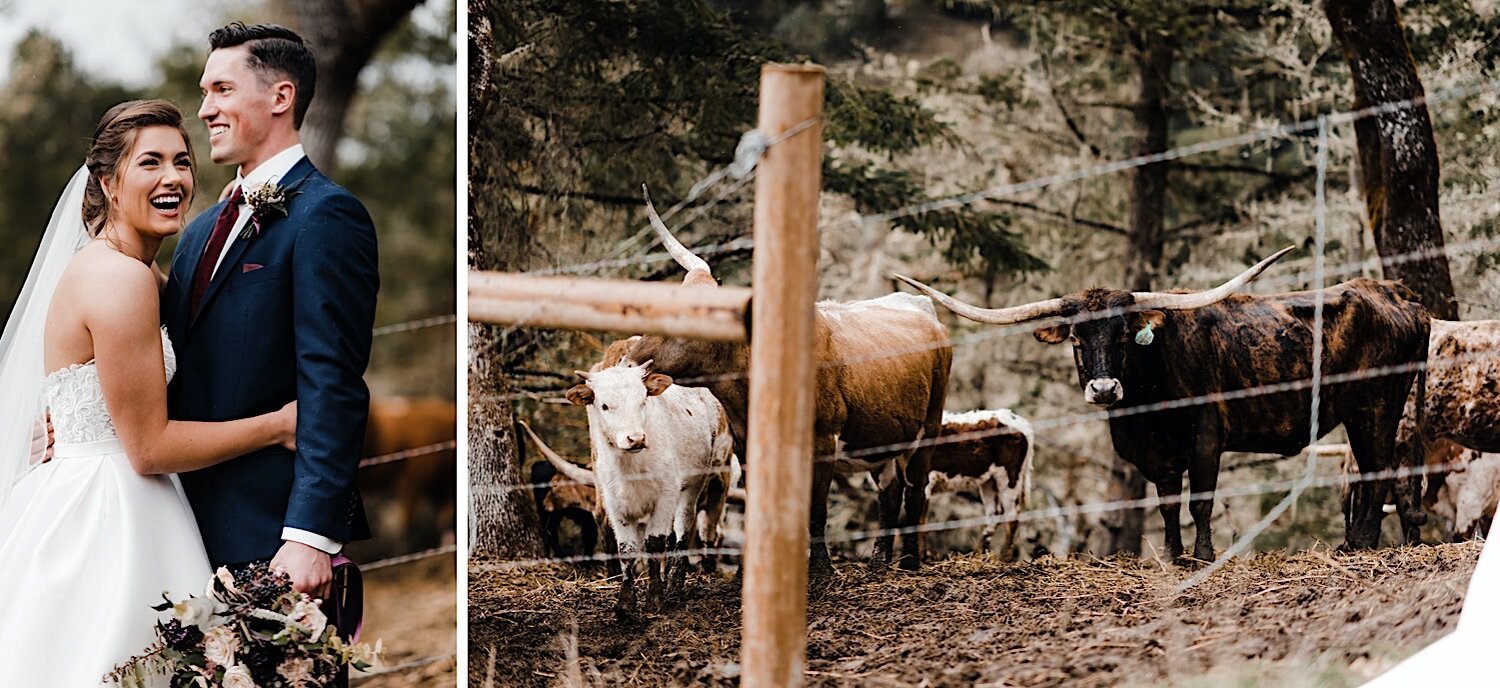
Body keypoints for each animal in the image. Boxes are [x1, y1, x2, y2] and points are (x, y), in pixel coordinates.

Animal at [630, 191, 954, 575]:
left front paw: (822, 573)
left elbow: (816, 510)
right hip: (884, 439)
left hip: (928, 428)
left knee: (915, 490)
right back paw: (878, 564)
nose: (632, 358)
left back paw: (910, 562)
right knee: (890, 493)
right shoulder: (748, 446)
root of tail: (922, 309)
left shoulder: (823, 442)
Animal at [924, 410, 1032, 560]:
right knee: (994, 513)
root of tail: (1016, 419)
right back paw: (980, 553)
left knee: (1011, 515)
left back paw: (1005, 557)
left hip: (1009, 476)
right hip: (989, 481)